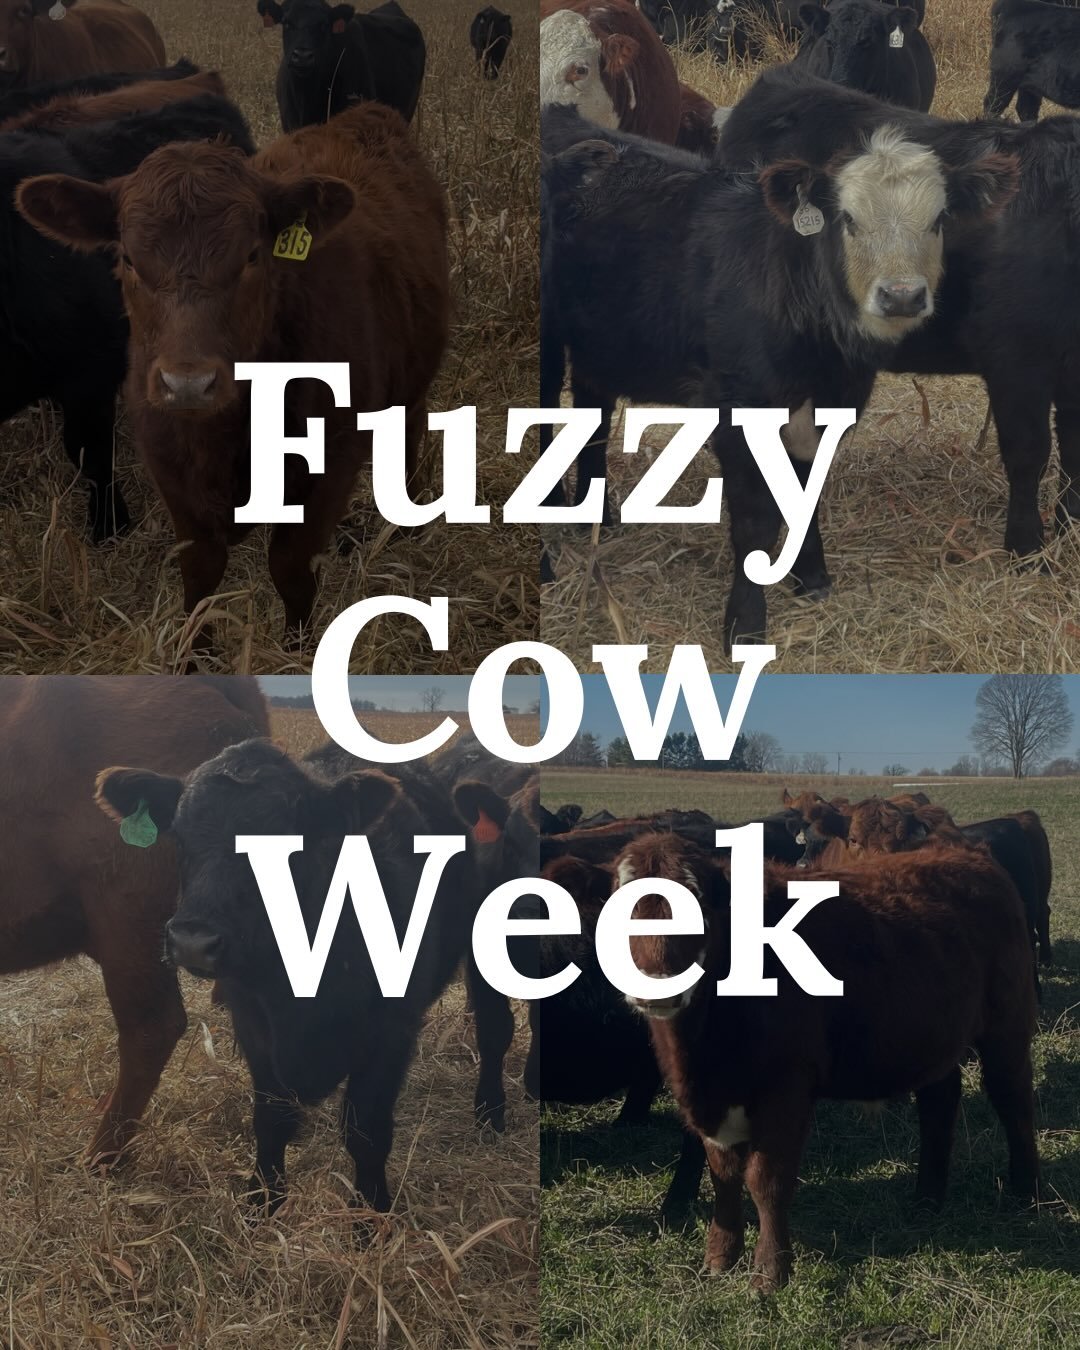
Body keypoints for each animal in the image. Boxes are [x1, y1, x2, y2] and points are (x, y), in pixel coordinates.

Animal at [95, 738, 517, 1215]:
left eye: (285, 844)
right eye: (179, 837)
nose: (192, 941)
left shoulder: (392, 1031)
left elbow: (367, 1131)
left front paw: (371, 1213)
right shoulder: (254, 1027)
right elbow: (271, 1120)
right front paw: (263, 1201)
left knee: (494, 1030)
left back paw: (490, 1112)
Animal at [541, 102, 1017, 646]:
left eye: (938, 219)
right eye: (847, 220)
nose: (901, 296)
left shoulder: (831, 409)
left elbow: (804, 495)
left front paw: (811, 577)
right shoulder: (735, 410)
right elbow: (755, 519)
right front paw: (746, 623)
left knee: (592, 415)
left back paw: (594, 516)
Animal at [619, 832, 1039, 1292]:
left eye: (698, 908)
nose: (655, 990)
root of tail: (970, 854)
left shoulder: (787, 1087)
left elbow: (766, 1180)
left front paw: (770, 1272)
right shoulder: (716, 1101)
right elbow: (723, 1175)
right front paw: (720, 1257)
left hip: (1006, 1028)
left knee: (1013, 1100)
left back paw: (1025, 1193)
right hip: (932, 1039)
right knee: (940, 1102)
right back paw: (927, 1198)